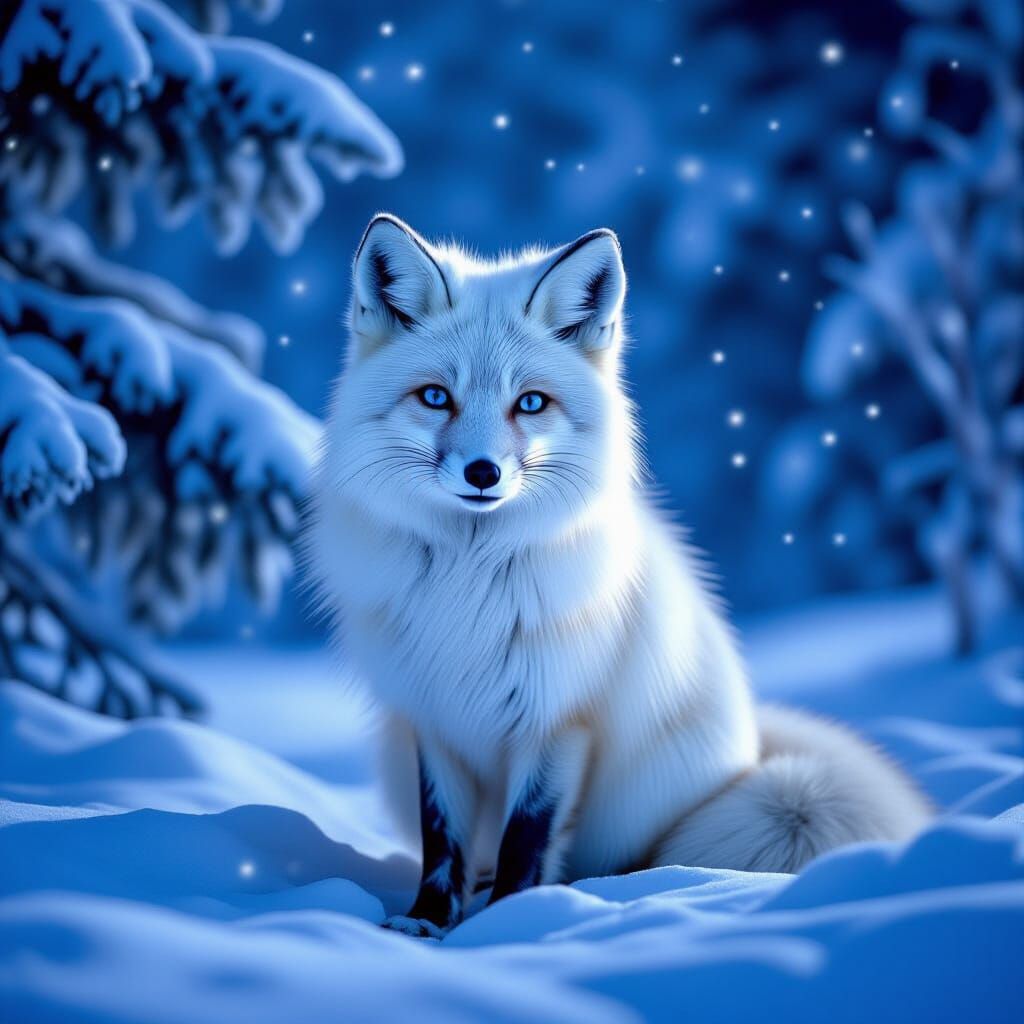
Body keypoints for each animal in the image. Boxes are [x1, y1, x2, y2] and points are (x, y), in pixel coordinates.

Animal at [307, 213, 932, 937]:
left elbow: (528, 836)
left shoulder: (560, 719)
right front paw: (426, 923)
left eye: (530, 403)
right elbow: (442, 839)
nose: (483, 473)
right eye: (436, 397)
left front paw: (511, 923)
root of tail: (755, 747)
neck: (468, 587)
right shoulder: (435, 718)